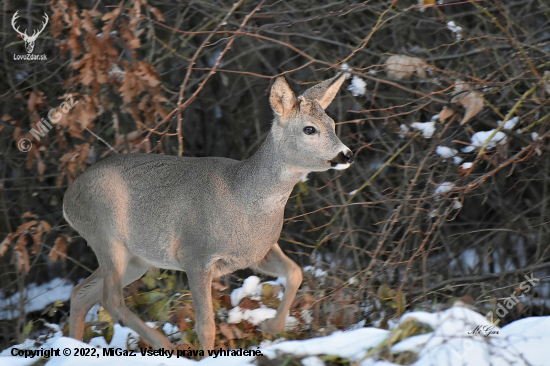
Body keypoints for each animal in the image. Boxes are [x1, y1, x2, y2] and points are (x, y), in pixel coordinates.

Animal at [63, 73, 354, 350]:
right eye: (309, 129)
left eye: (333, 124)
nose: (347, 155)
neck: (244, 199)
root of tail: (67, 199)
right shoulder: (195, 255)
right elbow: (206, 326)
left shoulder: (258, 251)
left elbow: (295, 272)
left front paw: (271, 325)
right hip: (106, 236)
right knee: (110, 299)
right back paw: (165, 344)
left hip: (136, 259)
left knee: (81, 293)